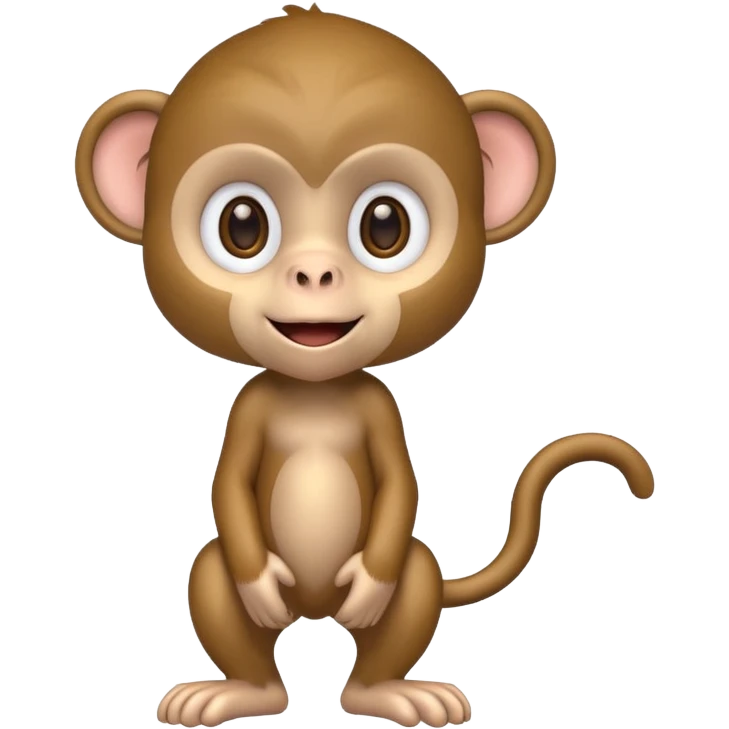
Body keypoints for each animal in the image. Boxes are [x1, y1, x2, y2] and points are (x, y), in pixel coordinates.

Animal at [73, 5, 655, 728]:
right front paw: (257, 582)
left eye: (385, 225)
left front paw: (372, 586)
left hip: (412, 577)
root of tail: (315, 614)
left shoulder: (379, 408)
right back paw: (239, 691)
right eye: (243, 225)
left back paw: (390, 692)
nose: (315, 273)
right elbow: (229, 485)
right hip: (220, 580)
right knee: (222, 594)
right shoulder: (249, 408)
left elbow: (400, 485)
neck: (315, 391)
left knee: (394, 616)